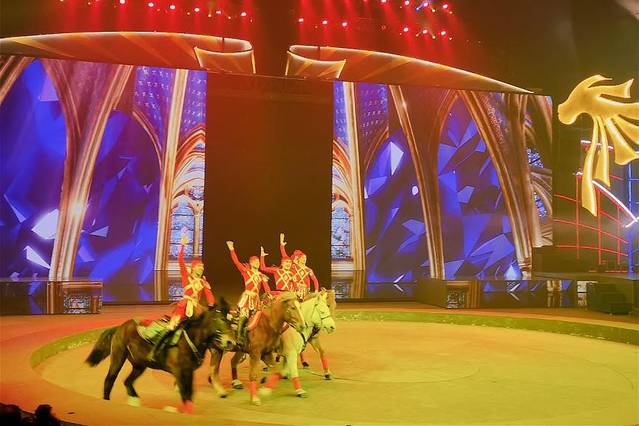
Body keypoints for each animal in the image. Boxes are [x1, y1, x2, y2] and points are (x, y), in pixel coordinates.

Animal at [85, 301, 235, 414]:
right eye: (222, 319)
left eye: (231, 320)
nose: (231, 342)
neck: (189, 339)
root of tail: (120, 327)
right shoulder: (179, 372)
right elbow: (185, 395)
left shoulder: (189, 372)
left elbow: (189, 395)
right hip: (118, 357)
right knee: (109, 381)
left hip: (140, 365)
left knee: (127, 382)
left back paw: (135, 402)